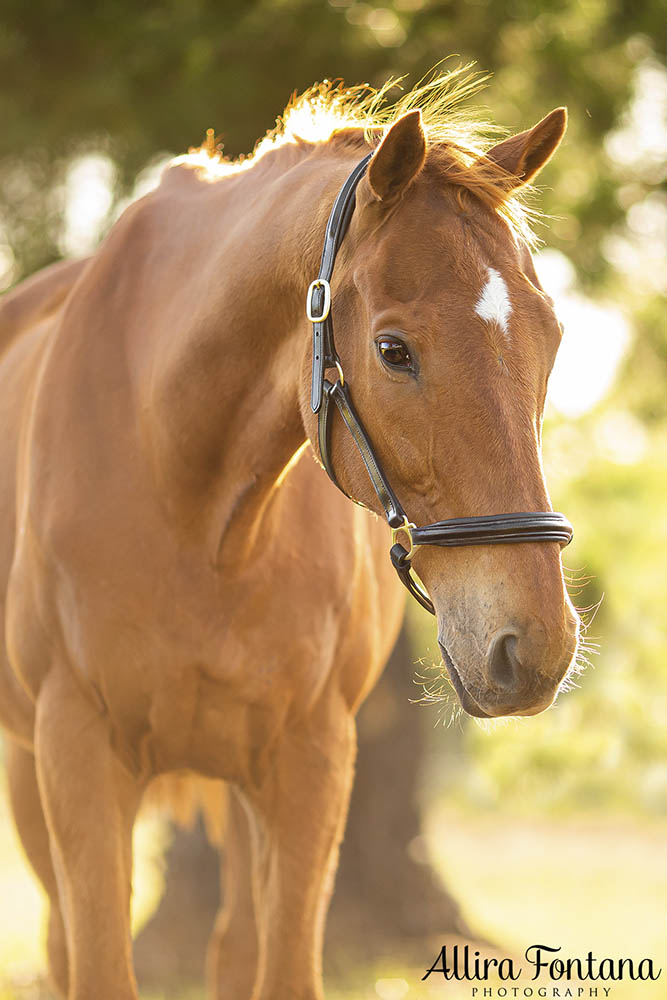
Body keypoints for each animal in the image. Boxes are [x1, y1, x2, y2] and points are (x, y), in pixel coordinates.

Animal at [0, 72, 580, 1000]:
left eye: (551, 336)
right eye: (392, 350)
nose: (535, 647)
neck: (193, 506)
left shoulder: (310, 759)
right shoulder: (75, 755)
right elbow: (94, 961)